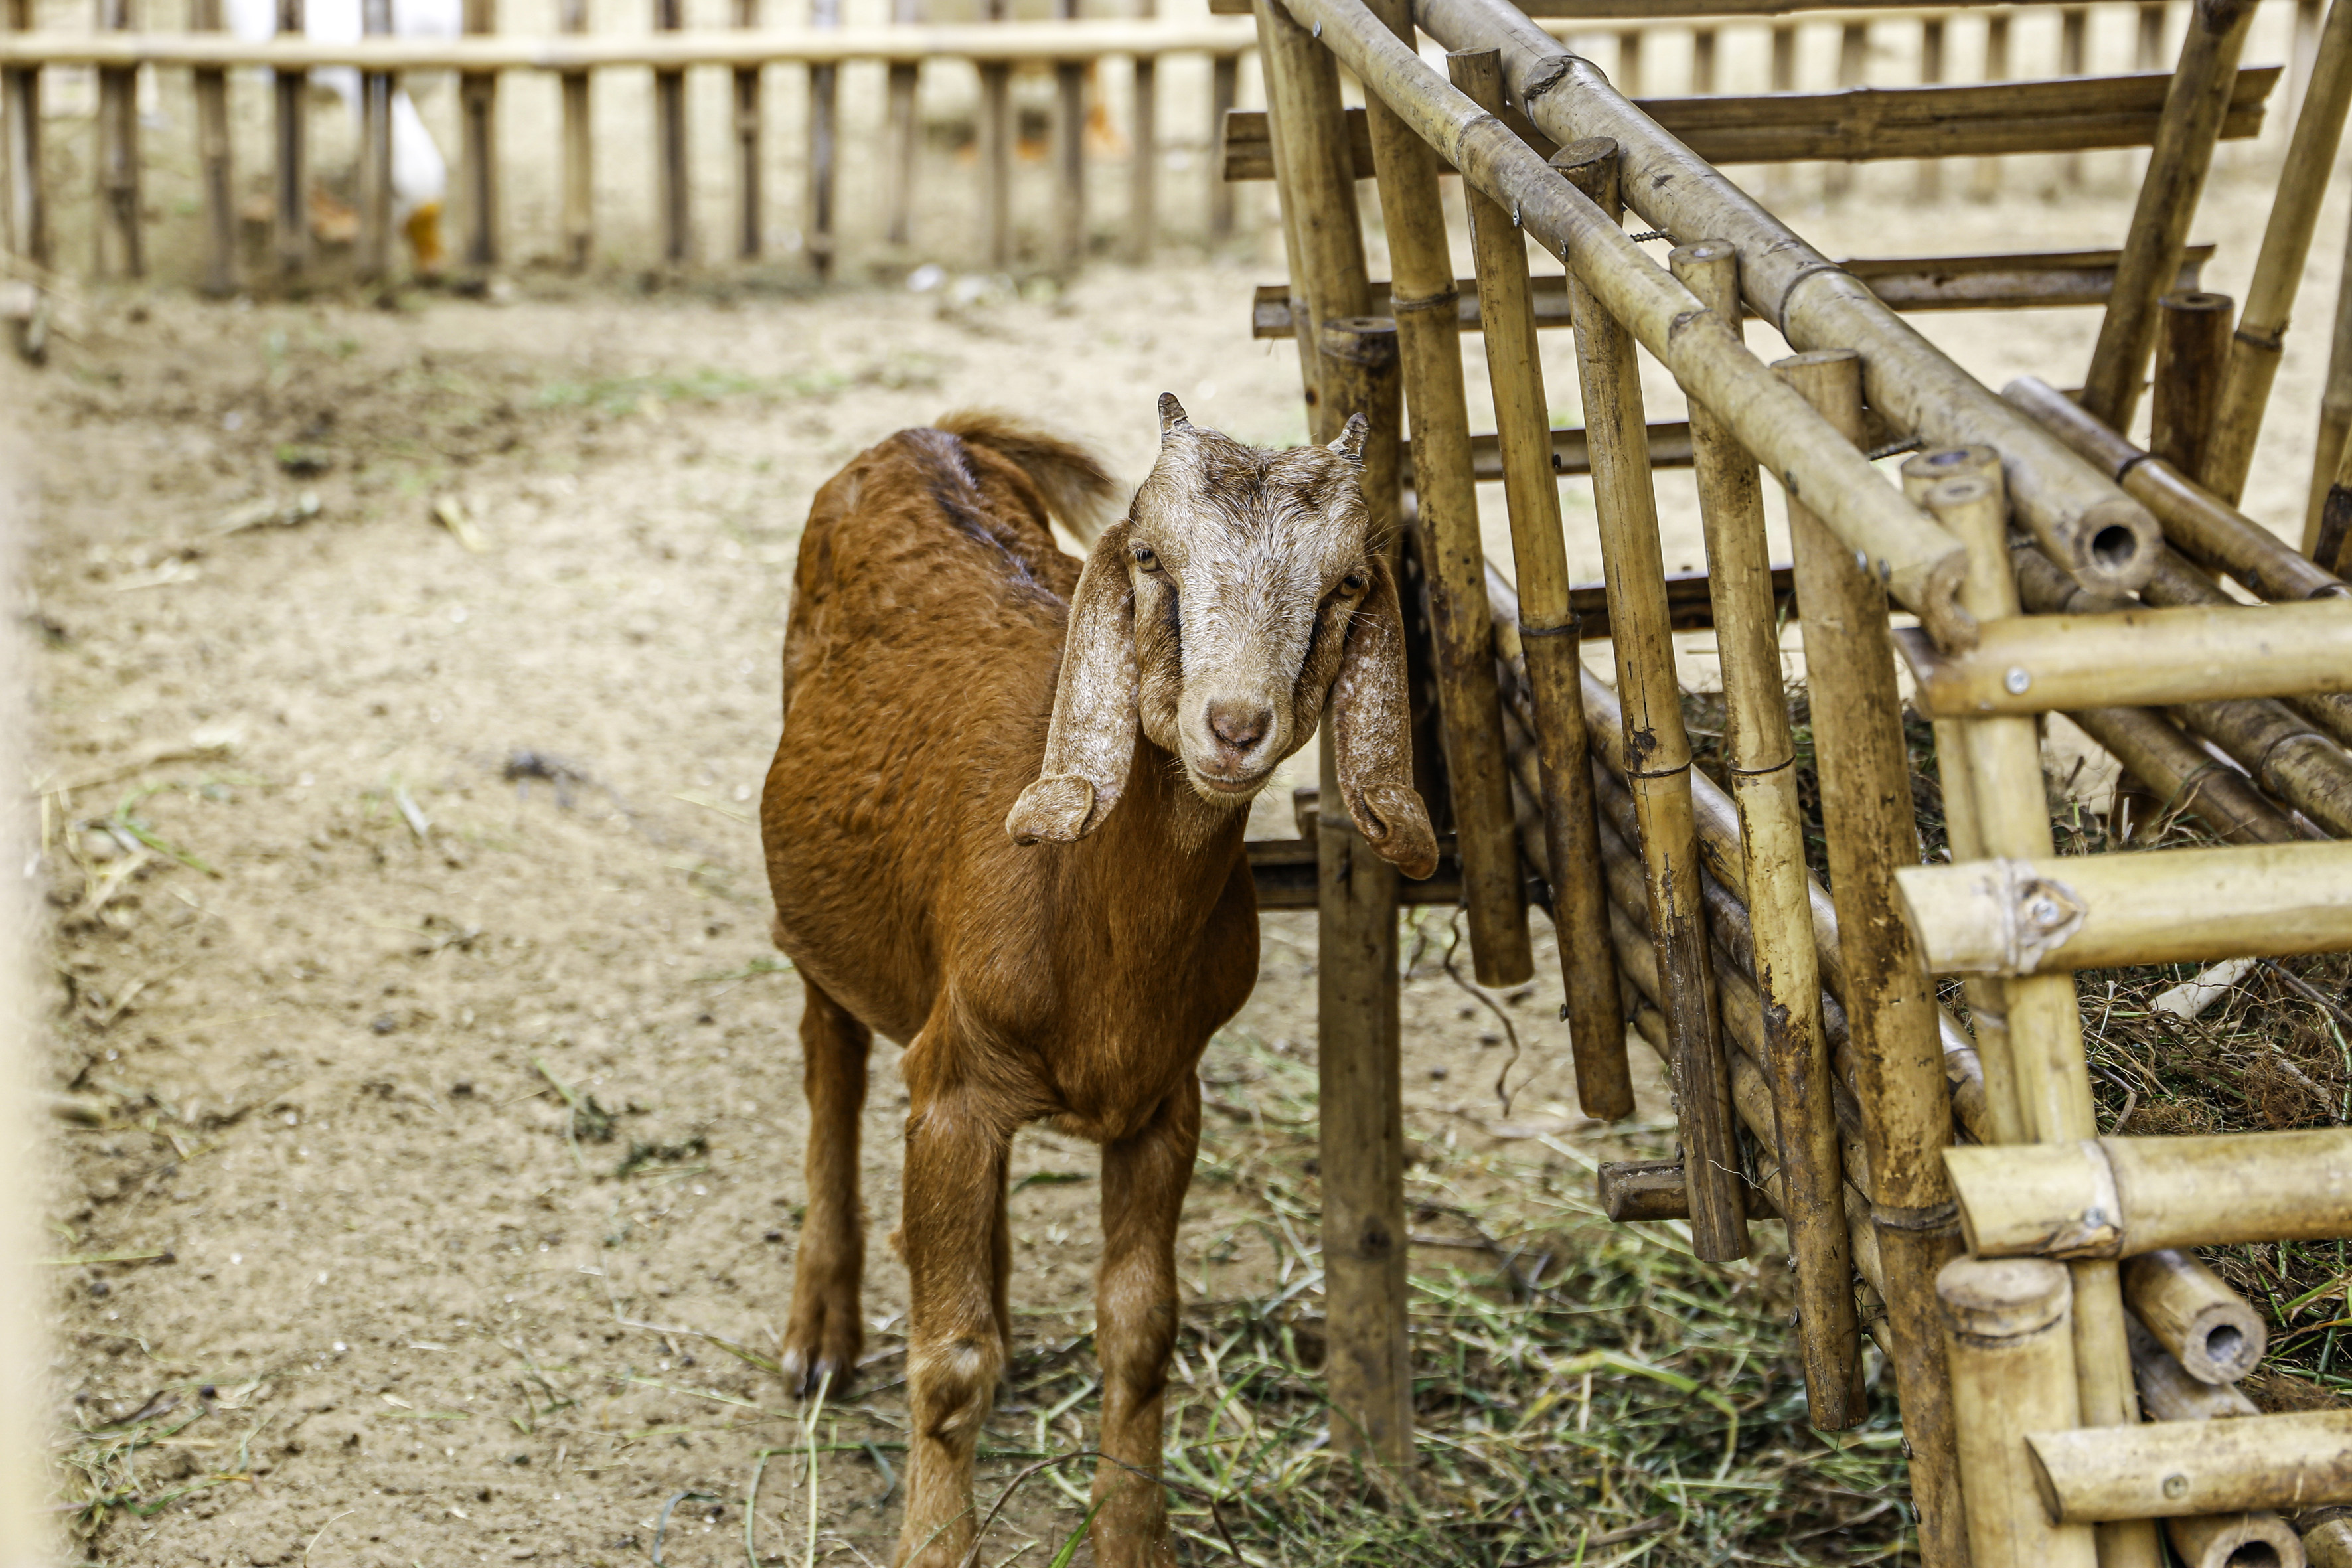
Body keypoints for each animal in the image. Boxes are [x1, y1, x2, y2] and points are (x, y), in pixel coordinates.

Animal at [760, 398, 1435, 1568]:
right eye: (1152, 558)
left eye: (1347, 583)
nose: (1233, 726)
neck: (1086, 914)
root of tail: (925, 432)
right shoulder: (954, 1087)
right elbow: (948, 1361)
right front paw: (934, 1542)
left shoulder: (1164, 1100)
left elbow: (1139, 1330)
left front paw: (1131, 1538)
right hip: (822, 917)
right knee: (828, 1061)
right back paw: (820, 1337)